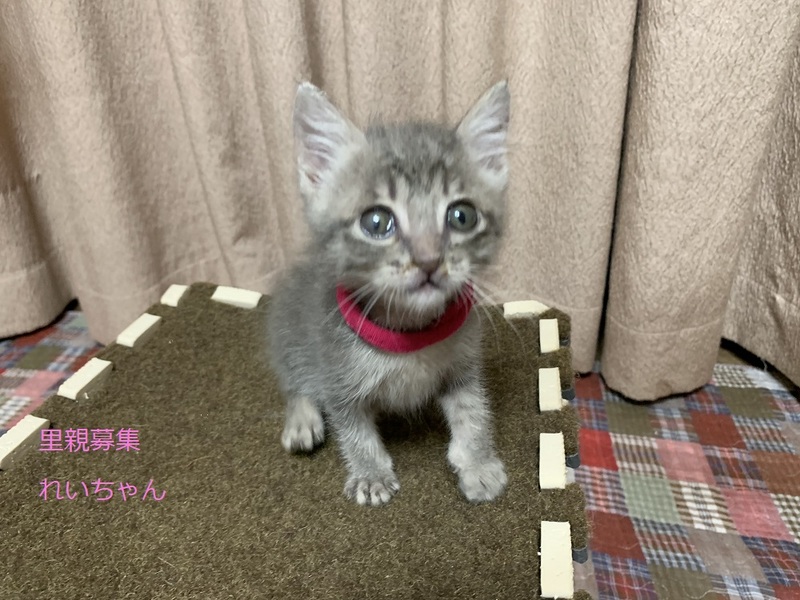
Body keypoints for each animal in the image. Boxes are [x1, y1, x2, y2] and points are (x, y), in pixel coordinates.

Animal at [267, 80, 510, 506]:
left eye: (462, 216)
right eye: (377, 222)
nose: (429, 261)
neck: (409, 331)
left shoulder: (464, 363)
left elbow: (473, 410)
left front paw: (478, 463)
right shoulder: (336, 370)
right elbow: (353, 429)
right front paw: (370, 473)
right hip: (292, 338)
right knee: (297, 382)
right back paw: (302, 419)